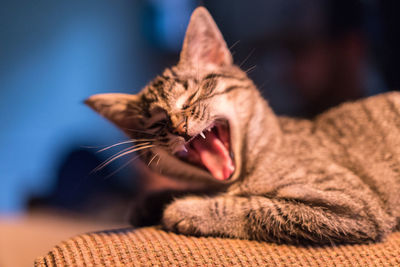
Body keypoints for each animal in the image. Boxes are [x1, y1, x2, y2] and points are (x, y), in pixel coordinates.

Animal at [86, 6, 400, 245]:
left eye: (192, 96)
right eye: (157, 123)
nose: (178, 127)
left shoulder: (346, 203)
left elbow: (257, 207)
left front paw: (187, 208)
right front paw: (153, 201)